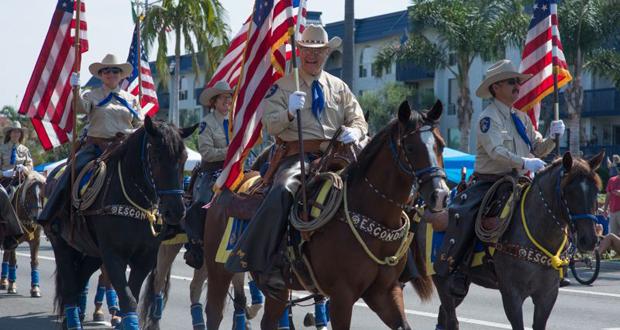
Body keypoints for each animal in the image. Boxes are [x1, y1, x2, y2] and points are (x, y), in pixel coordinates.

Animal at [0, 168, 45, 296]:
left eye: (43, 192)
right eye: (29, 192)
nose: (37, 217)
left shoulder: (36, 241)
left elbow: (34, 261)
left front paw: (35, 288)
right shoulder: (14, 239)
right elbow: (13, 260)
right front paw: (12, 285)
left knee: (5, 255)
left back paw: (4, 281)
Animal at [45, 116, 195, 330]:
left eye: (183, 159)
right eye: (156, 157)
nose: (176, 211)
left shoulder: (145, 258)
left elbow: (132, 295)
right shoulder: (113, 256)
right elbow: (128, 299)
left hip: (92, 252)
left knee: (80, 278)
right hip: (62, 245)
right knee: (70, 286)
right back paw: (73, 322)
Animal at [203, 101, 450, 330]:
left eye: (441, 145)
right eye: (410, 147)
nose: (440, 195)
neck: (371, 215)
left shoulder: (384, 292)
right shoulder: (342, 296)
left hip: (278, 288)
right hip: (218, 271)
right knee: (214, 313)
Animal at [424, 152, 604, 330]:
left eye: (596, 191)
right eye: (568, 192)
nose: (589, 240)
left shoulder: (547, 295)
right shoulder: (512, 295)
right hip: (442, 282)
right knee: (451, 318)